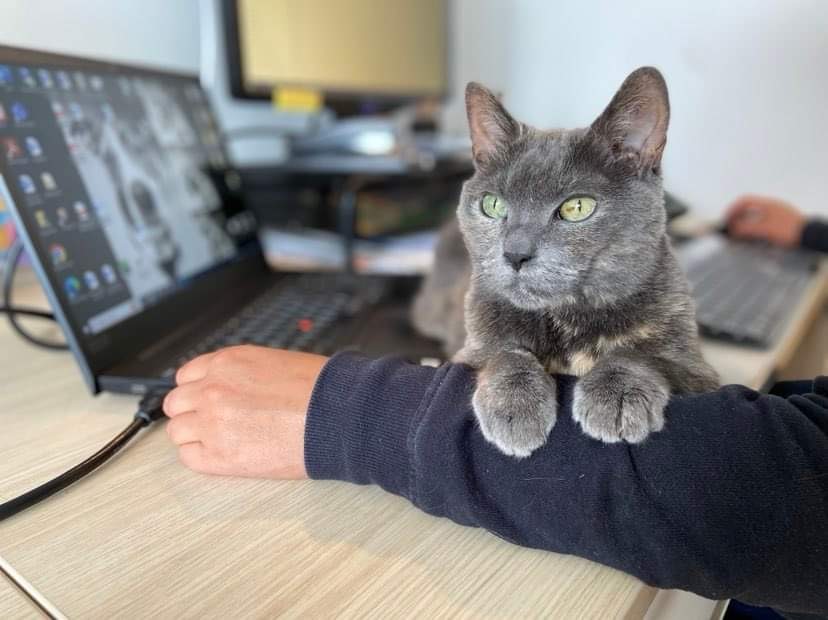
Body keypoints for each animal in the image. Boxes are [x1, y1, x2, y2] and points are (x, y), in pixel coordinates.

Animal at [412, 68, 720, 458]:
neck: (568, 322)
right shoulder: (468, 349)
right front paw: (515, 405)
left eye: (577, 207)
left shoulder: (698, 369)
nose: (515, 252)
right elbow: (503, 352)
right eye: (492, 205)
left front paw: (617, 395)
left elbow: (642, 354)